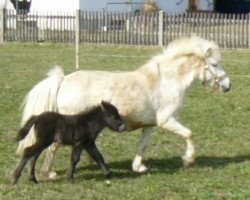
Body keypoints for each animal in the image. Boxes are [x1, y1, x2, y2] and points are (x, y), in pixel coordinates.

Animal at [16, 37, 230, 178]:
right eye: (214, 64)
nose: (228, 85)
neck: (165, 82)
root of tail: (63, 79)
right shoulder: (167, 121)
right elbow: (189, 134)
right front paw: (188, 160)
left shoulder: (149, 125)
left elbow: (143, 145)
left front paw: (138, 167)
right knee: (53, 146)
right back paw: (49, 173)